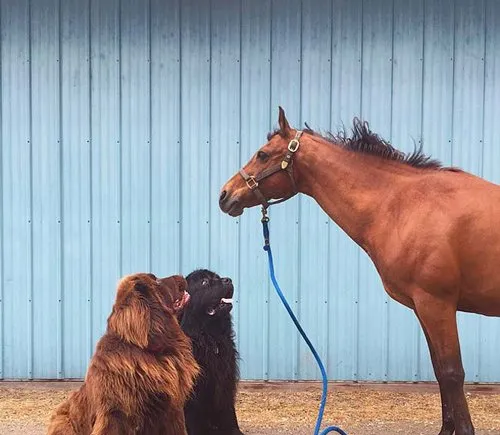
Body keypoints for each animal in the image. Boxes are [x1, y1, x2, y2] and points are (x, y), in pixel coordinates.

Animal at [182, 270, 244, 435]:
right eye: (204, 282)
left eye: (217, 277)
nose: (228, 280)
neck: (210, 337)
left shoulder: (225, 379)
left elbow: (227, 410)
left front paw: (234, 430)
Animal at [218, 106, 500, 435]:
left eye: (262, 154)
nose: (225, 194)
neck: (405, 205)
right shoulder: (424, 308)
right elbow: (440, 373)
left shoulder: (437, 305)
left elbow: (452, 373)